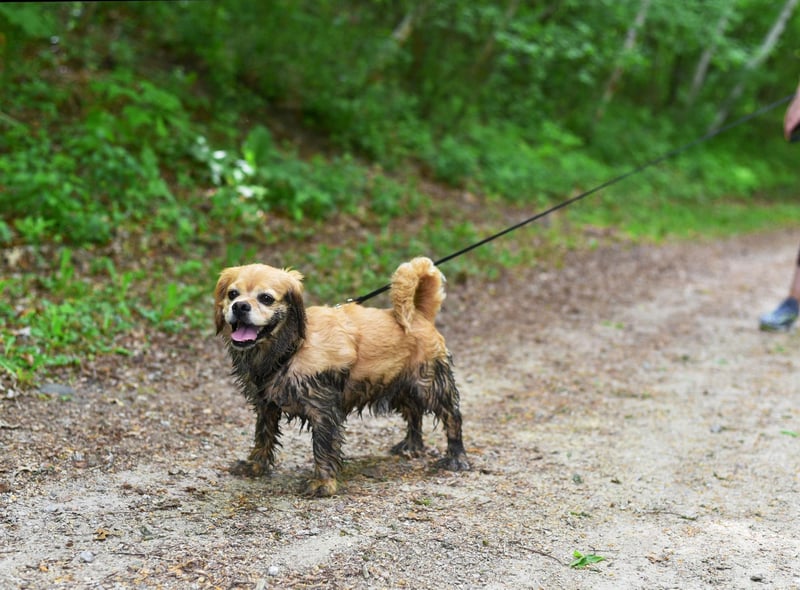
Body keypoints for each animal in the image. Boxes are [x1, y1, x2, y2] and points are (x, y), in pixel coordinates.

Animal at [216, 256, 472, 498]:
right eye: (232, 294)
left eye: (266, 298)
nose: (240, 306)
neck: (292, 348)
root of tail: (419, 314)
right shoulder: (266, 405)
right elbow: (263, 436)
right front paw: (255, 466)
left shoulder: (324, 409)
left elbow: (323, 447)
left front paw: (323, 483)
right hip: (398, 385)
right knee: (414, 412)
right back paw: (411, 445)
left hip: (429, 383)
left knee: (452, 417)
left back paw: (456, 458)